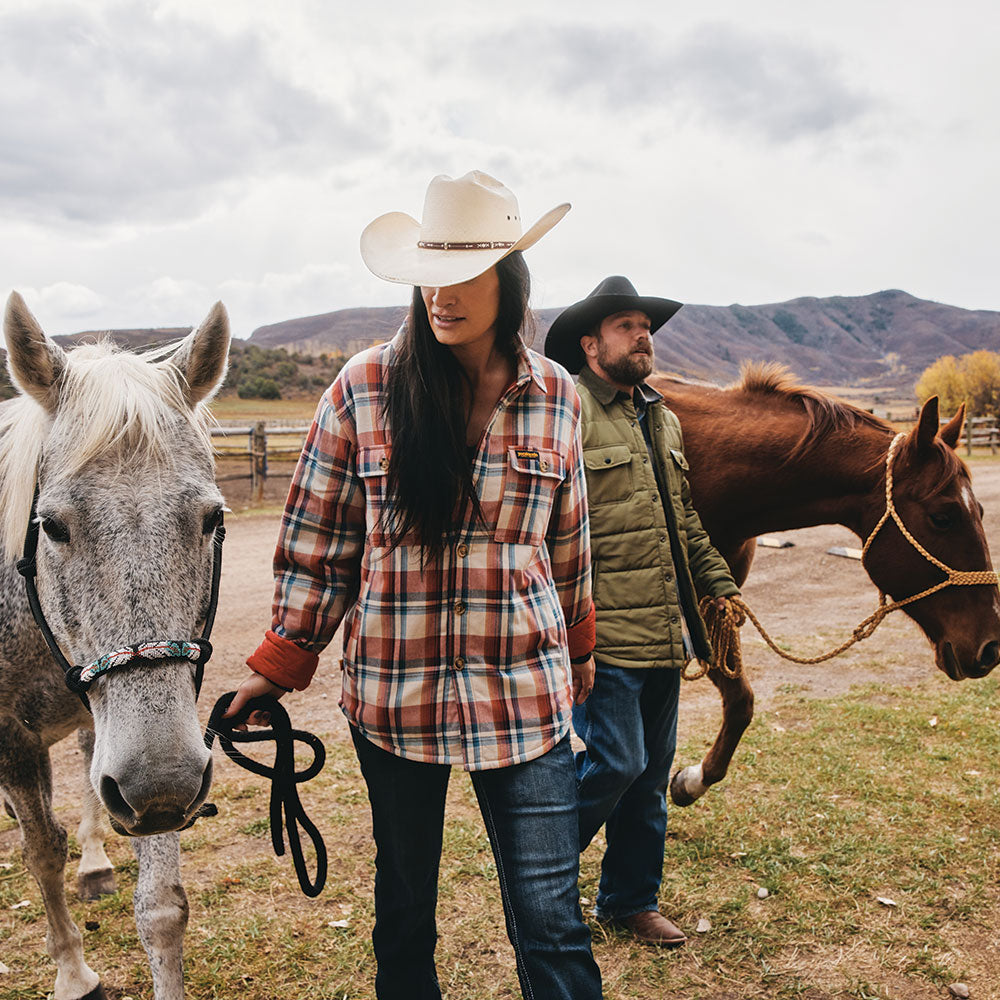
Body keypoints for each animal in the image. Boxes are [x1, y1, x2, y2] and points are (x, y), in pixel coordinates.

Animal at [0, 292, 229, 1000]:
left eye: (213, 518)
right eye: (50, 524)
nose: (160, 783)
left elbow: (162, 907)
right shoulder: (11, 739)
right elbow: (42, 852)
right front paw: (73, 974)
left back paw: (97, 862)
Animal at [656, 364, 1000, 808]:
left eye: (980, 511)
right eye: (944, 516)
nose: (992, 646)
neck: (703, 462)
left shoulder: (714, 603)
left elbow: (740, 703)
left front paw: (689, 780)